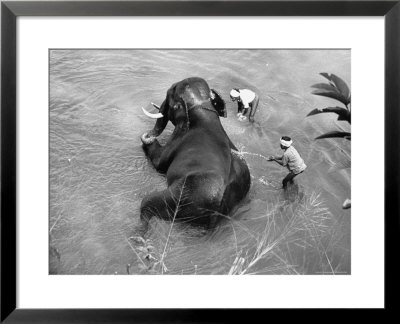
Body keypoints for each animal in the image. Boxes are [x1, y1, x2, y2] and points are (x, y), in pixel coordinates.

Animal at [139, 76, 248, 228]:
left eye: (169, 94)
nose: (148, 134)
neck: (204, 111)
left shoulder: (178, 137)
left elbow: (159, 163)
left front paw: (146, 139)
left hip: (181, 196)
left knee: (147, 203)